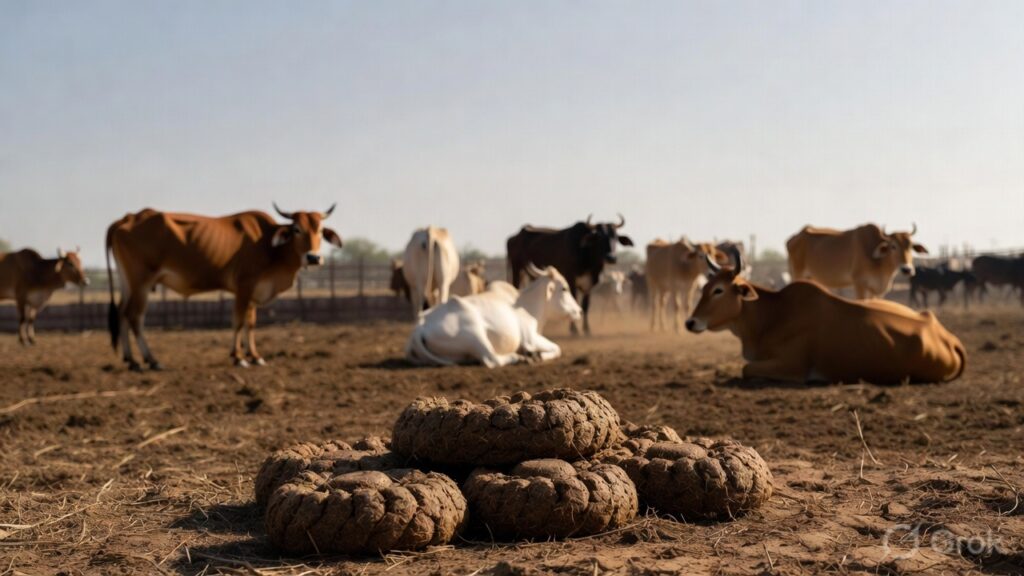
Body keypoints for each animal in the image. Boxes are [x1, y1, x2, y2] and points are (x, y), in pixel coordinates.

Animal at [105, 204, 342, 370]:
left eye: (320, 230)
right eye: (296, 229)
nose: (313, 257)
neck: (267, 244)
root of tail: (128, 218)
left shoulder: (254, 290)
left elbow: (250, 323)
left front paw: (254, 356)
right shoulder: (244, 287)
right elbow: (238, 322)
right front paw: (238, 358)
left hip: (128, 282)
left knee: (122, 312)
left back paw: (132, 360)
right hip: (141, 283)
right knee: (135, 317)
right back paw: (151, 360)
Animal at [405, 264, 582, 367]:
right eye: (564, 288)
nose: (579, 311)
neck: (526, 305)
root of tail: (420, 327)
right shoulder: (530, 338)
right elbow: (557, 348)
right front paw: (536, 355)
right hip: (476, 335)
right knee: (492, 360)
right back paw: (518, 358)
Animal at [685, 250, 965, 384]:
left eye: (719, 290)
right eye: (704, 287)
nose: (690, 322)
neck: (774, 314)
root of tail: (947, 337)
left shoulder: (793, 367)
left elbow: (746, 368)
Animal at [786, 223, 928, 299]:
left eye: (911, 246)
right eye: (893, 246)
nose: (907, 269)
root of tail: (794, 238)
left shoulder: (876, 291)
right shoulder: (859, 283)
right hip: (797, 274)